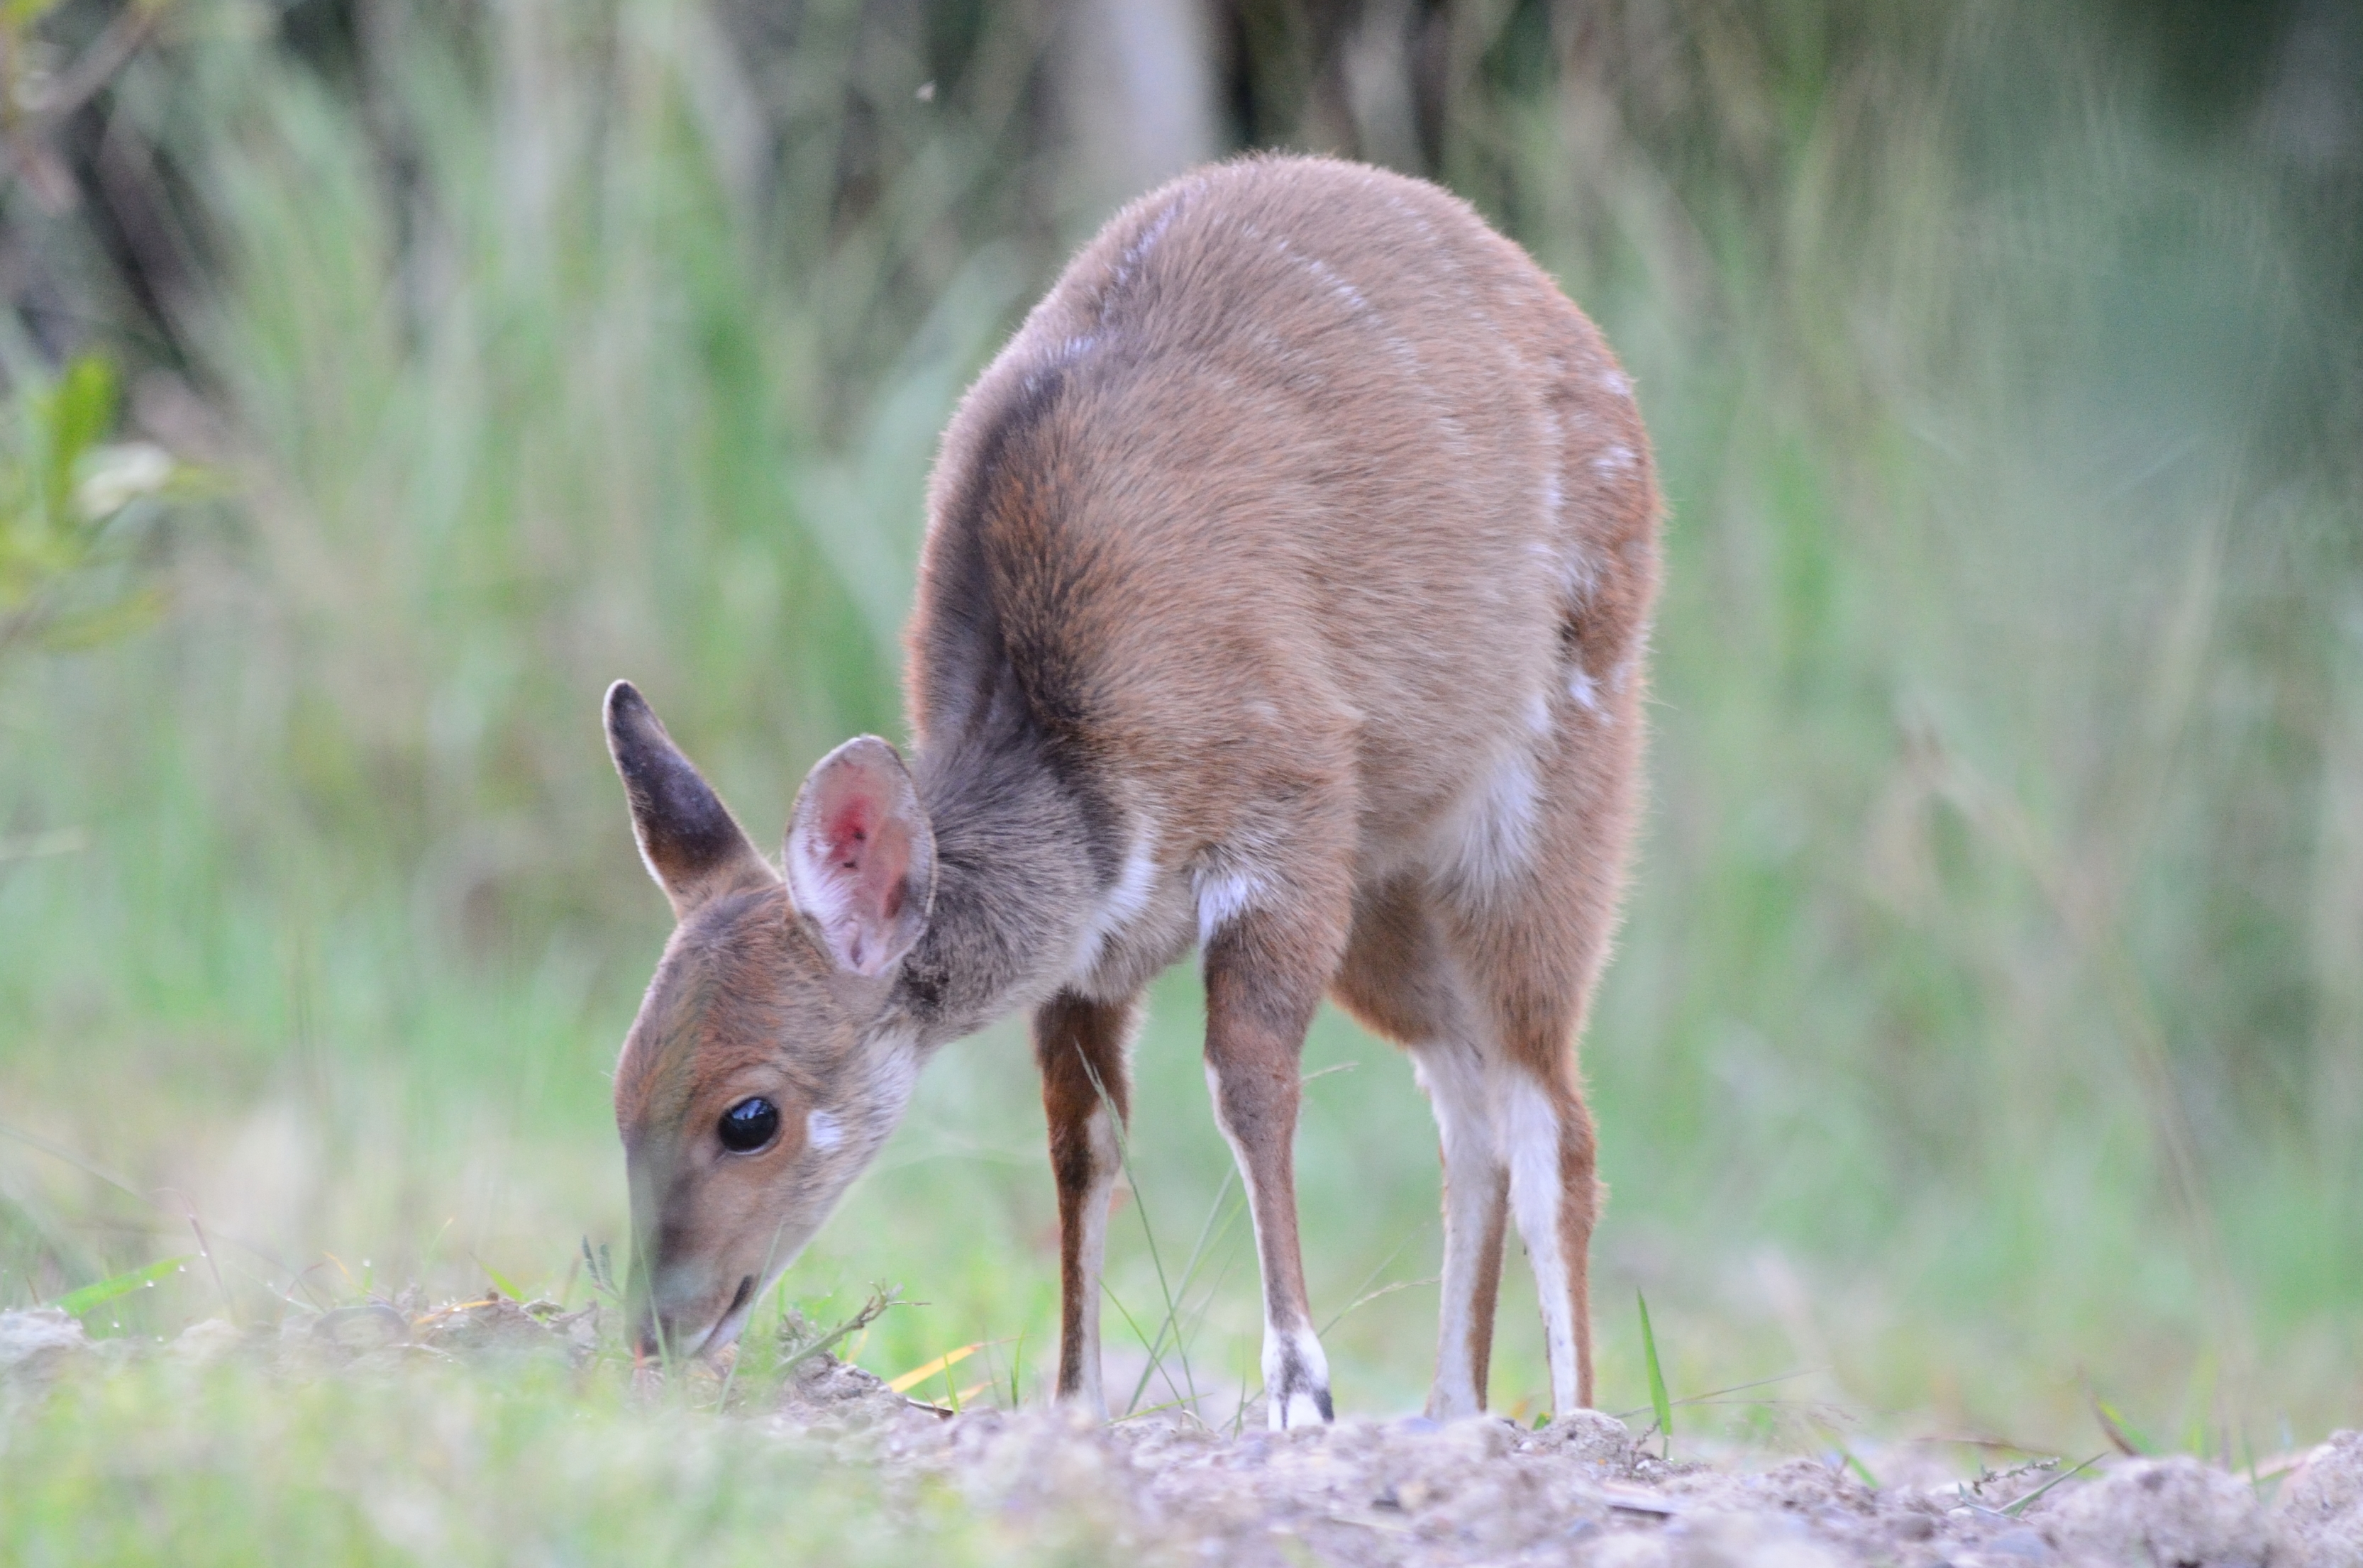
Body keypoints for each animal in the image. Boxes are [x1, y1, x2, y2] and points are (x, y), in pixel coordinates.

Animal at [609, 153, 1664, 1426]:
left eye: (749, 1115)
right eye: (620, 1091)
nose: (657, 1328)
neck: (1091, 767)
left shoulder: (1289, 823)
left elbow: (1250, 1086)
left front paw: (1300, 1390)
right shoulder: (1095, 956)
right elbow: (1083, 1139)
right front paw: (1075, 1396)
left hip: (1556, 778)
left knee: (1550, 1109)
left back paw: (1576, 1413)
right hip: (1391, 893)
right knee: (1465, 1095)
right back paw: (1449, 1404)